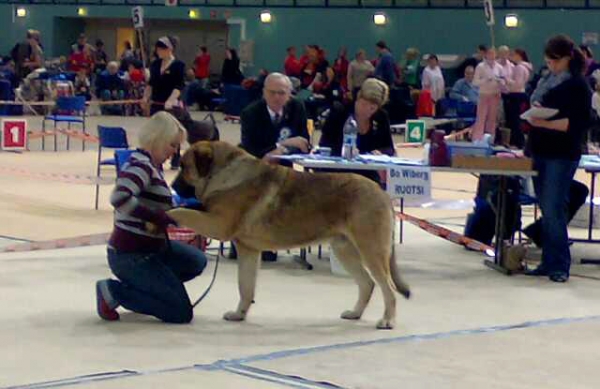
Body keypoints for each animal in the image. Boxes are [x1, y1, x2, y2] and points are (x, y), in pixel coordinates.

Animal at [166, 139, 410, 328]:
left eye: (184, 167)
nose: (173, 186)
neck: (223, 172)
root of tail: (382, 193)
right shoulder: (248, 250)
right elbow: (246, 287)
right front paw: (239, 314)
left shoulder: (217, 224)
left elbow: (182, 212)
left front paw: (166, 212)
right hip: (345, 250)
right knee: (367, 284)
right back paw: (355, 313)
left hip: (371, 250)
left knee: (387, 288)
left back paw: (387, 321)